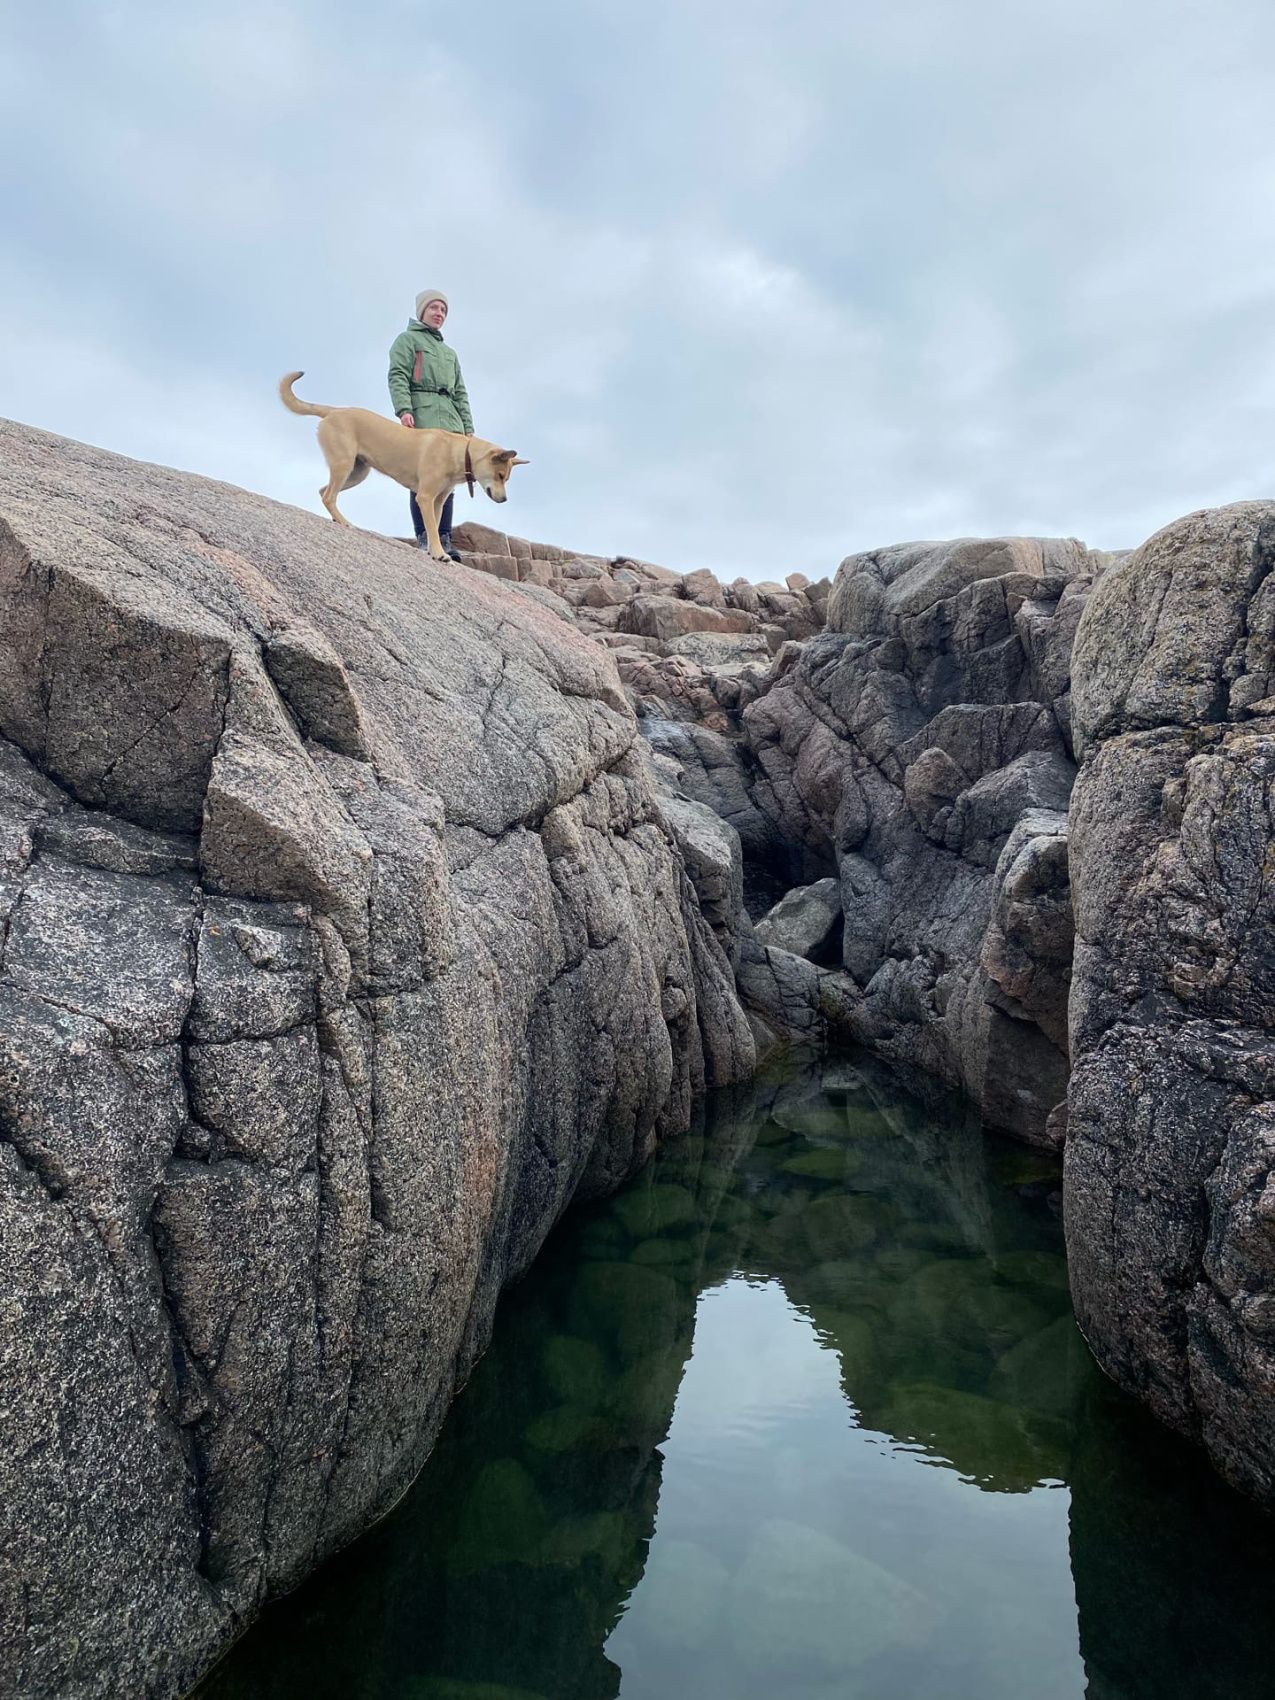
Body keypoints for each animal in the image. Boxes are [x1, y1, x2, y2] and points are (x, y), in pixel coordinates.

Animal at [277, 372, 527, 557]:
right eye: (501, 475)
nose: (504, 499)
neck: (459, 451)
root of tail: (335, 410)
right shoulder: (424, 497)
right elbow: (431, 529)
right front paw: (440, 555)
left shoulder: (438, 500)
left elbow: (435, 526)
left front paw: (434, 552)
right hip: (344, 464)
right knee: (329, 495)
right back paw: (345, 522)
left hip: (357, 472)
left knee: (324, 492)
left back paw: (337, 519)